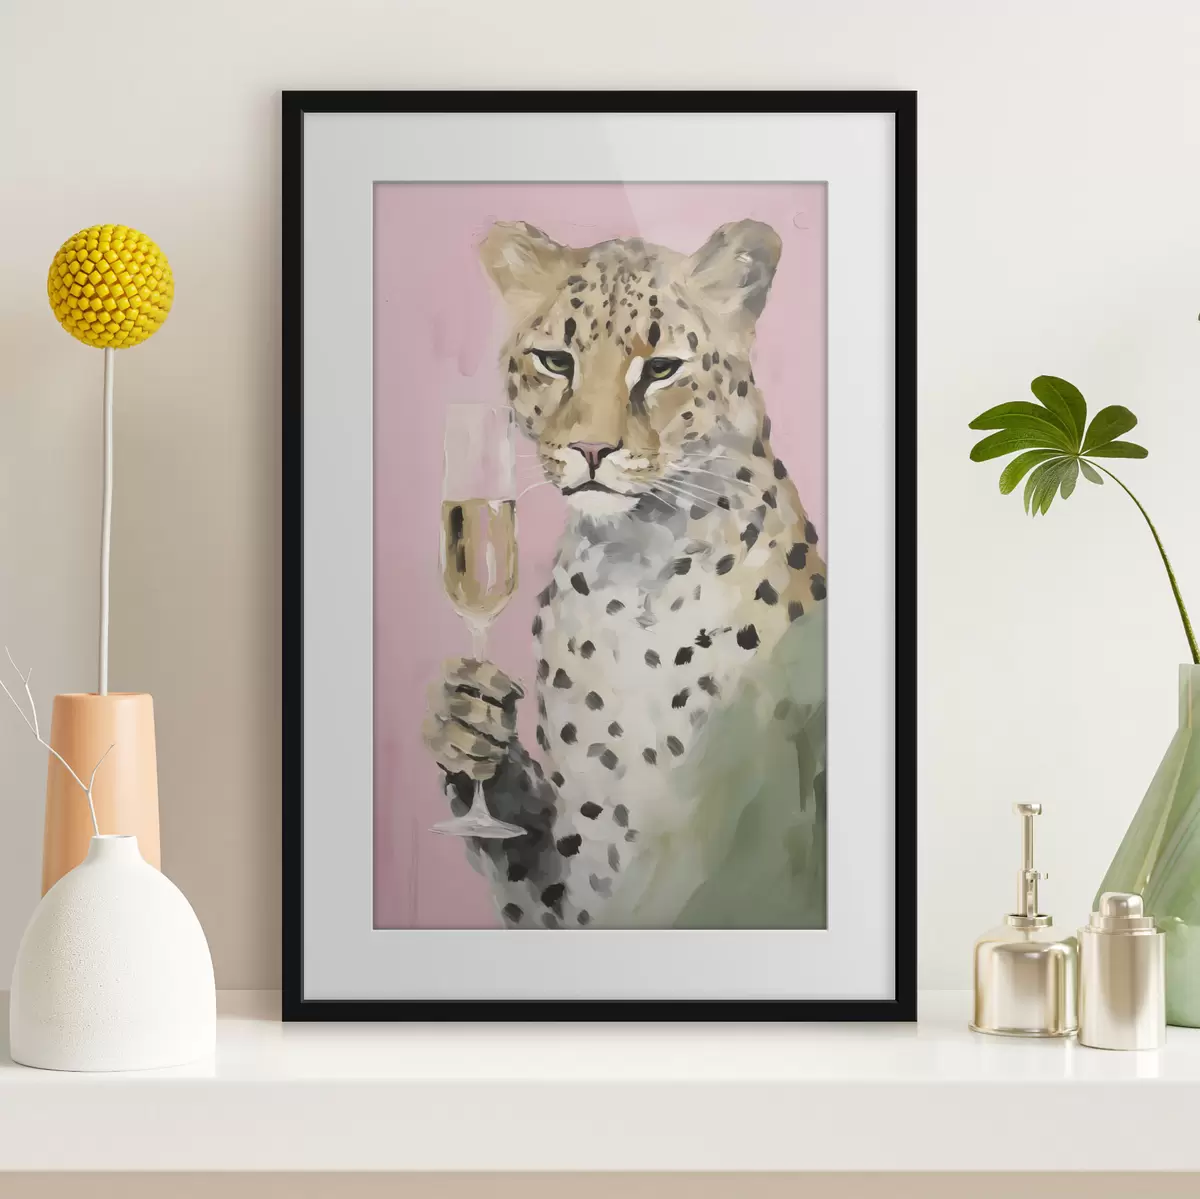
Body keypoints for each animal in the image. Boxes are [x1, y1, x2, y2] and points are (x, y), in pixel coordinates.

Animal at [423, 218, 827, 930]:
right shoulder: (580, 873)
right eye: (557, 360)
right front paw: (465, 727)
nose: (591, 450)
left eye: (661, 368)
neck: (633, 571)